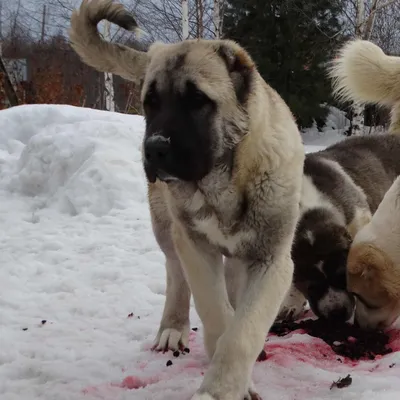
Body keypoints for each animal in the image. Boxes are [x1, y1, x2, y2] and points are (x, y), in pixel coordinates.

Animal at [69, 1, 304, 398]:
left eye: (197, 100)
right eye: (150, 103)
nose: (153, 148)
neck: (223, 182)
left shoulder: (272, 260)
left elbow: (243, 331)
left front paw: (222, 388)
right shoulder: (195, 246)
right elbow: (216, 314)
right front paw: (225, 384)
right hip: (167, 228)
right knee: (176, 274)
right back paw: (173, 327)